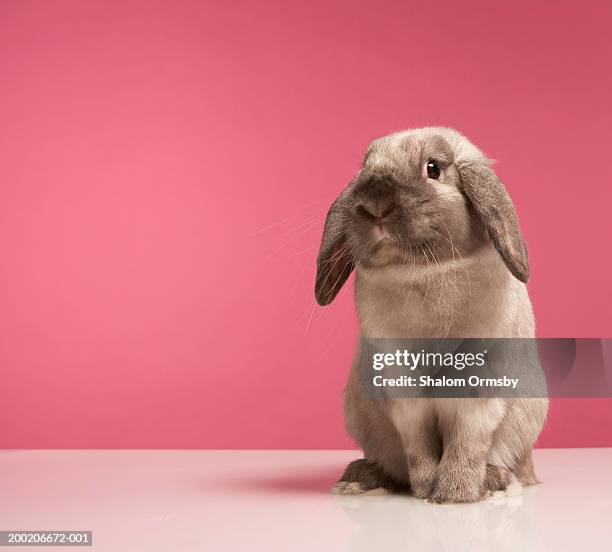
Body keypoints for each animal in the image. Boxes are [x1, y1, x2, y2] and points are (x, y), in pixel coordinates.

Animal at [318, 127, 548, 502]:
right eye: (366, 167)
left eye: (433, 168)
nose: (375, 203)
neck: (422, 273)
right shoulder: (404, 398)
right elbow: (419, 448)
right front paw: (426, 489)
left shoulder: (479, 394)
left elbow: (466, 444)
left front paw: (456, 495)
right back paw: (359, 478)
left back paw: (495, 481)